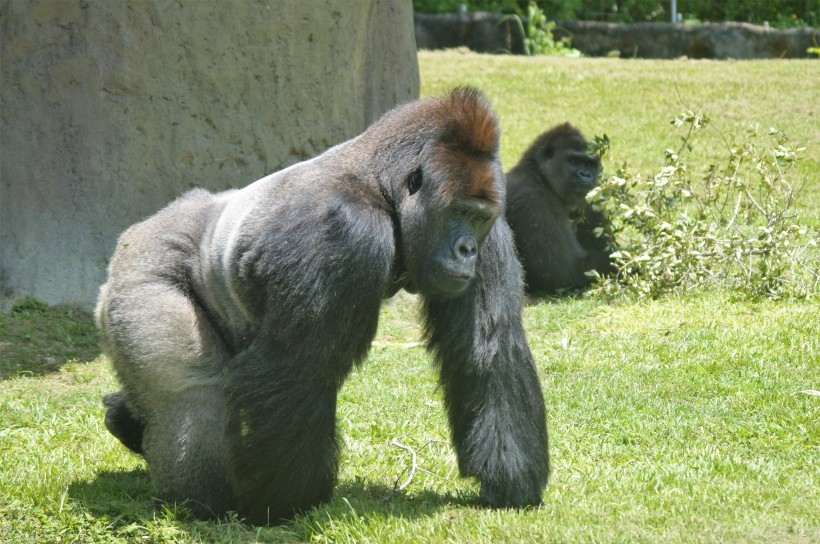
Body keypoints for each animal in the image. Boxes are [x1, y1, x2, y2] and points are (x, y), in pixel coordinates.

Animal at [97, 88, 552, 524]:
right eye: (457, 212)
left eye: (478, 217)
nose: (467, 250)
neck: (380, 186)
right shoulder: (344, 230)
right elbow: (296, 370)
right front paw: (284, 503)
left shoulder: (494, 230)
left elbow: (488, 350)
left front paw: (510, 481)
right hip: (140, 272)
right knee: (191, 392)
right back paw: (200, 500)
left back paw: (125, 420)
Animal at [502, 122, 612, 296]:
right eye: (573, 161)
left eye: (589, 164)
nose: (585, 174)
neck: (539, 174)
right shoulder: (531, 198)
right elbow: (565, 271)